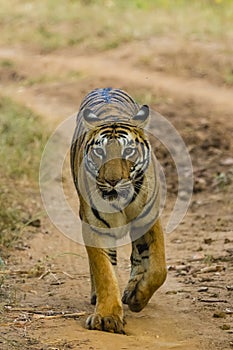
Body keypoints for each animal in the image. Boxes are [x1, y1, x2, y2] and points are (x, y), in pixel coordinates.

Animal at [70, 87, 167, 334]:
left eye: (129, 151)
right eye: (100, 153)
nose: (112, 181)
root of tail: (105, 88)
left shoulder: (149, 220)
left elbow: (158, 269)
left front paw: (137, 297)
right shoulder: (95, 227)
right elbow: (105, 271)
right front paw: (107, 317)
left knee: (139, 255)